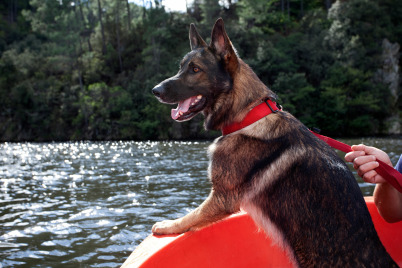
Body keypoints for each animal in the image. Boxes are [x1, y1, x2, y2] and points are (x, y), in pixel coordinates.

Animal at [152, 18, 398, 266]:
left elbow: (191, 216)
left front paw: (167, 225)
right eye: (181, 67)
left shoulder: (222, 197)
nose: (155, 90)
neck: (249, 115)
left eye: (195, 69)